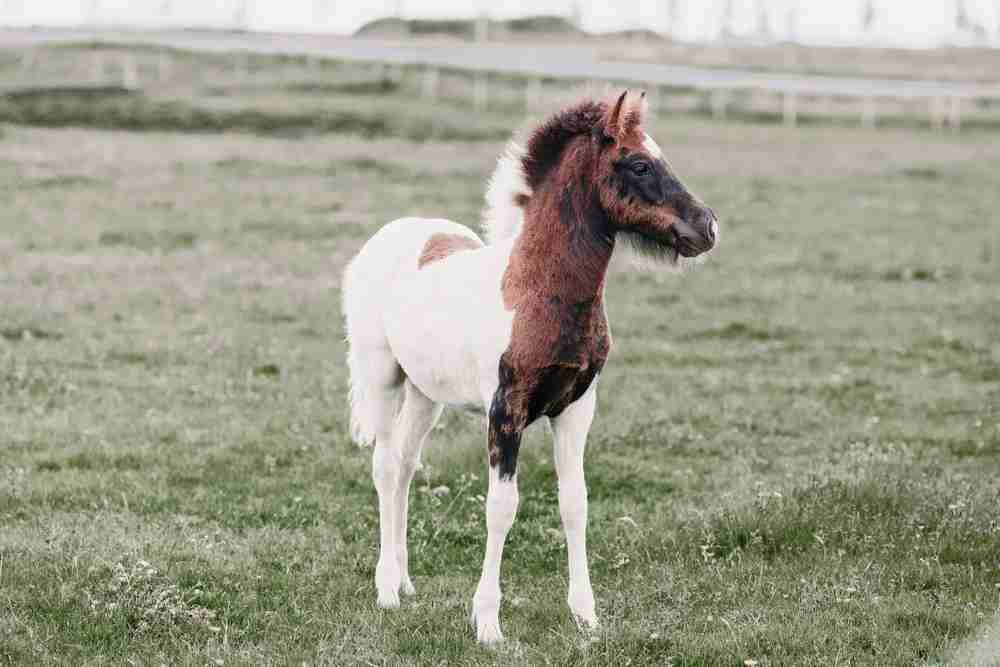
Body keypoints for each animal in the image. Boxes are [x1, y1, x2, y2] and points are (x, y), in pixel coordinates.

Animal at [341, 90, 718, 643]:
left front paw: (586, 615)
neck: (536, 289)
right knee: (386, 467)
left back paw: (406, 582)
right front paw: (487, 623)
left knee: (407, 466)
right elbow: (501, 508)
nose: (708, 227)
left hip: (427, 394)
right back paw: (387, 589)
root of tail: (390, 235)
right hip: (382, 377)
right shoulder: (506, 412)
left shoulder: (577, 408)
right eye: (639, 164)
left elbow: (575, 503)